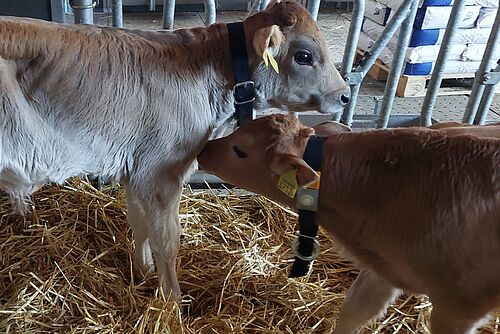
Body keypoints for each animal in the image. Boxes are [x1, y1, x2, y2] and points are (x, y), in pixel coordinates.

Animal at [0, 0, 350, 298]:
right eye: (304, 56)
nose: (345, 95)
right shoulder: (161, 172)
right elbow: (167, 241)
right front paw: (172, 301)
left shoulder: (137, 169)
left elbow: (140, 224)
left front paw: (143, 272)